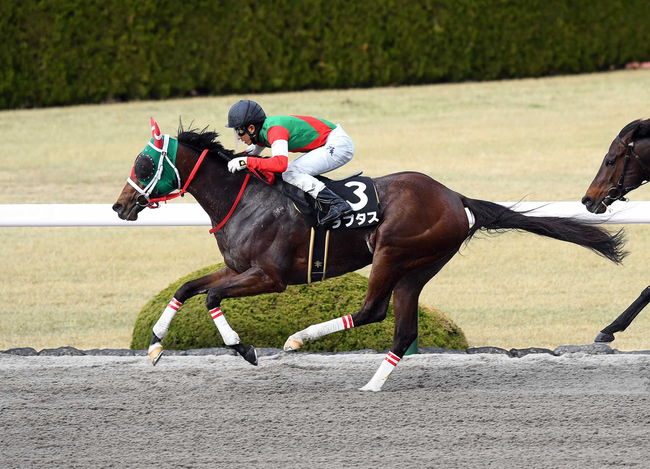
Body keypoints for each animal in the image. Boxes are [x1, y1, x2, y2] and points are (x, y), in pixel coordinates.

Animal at [114, 119, 624, 390]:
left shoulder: (269, 277)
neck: (245, 199)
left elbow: (212, 298)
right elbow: (188, 288)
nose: (120, 206)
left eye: (144, 164)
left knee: (371, 311)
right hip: (419, 268)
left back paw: (298, 338)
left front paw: (243, 348)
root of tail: (455, 197)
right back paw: (375, 382)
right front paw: (155, 345)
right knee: (402, 329)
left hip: (393, 254)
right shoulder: (237, 267)